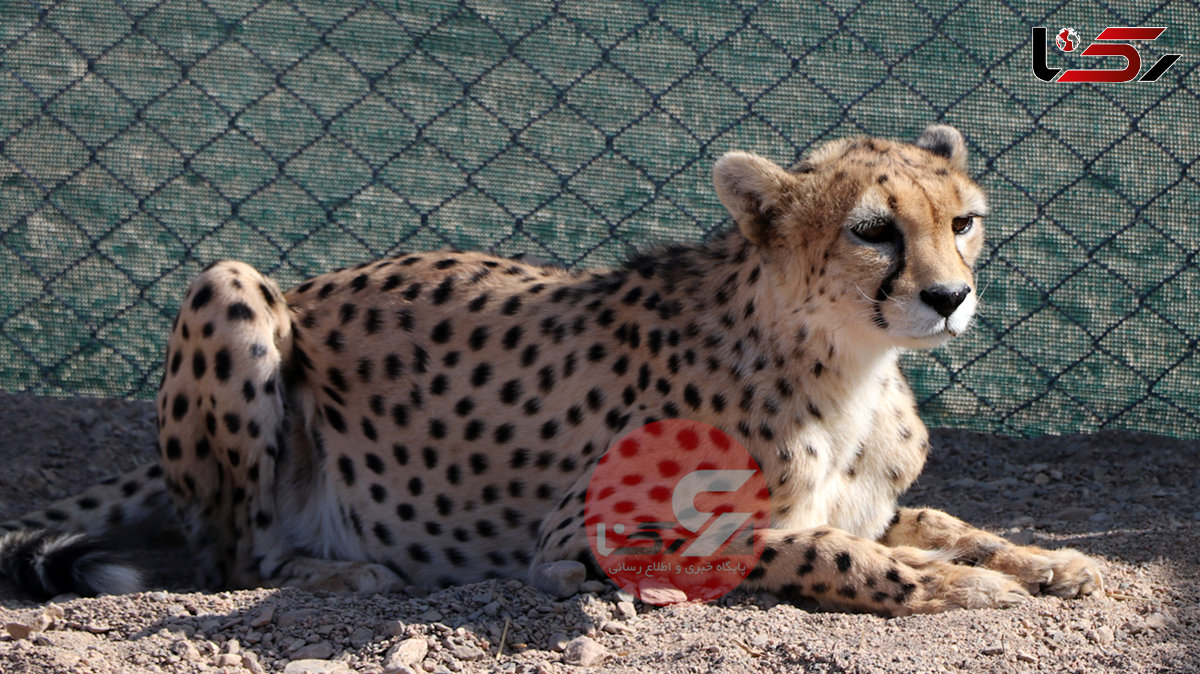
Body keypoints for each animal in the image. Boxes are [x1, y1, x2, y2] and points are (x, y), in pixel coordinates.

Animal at [0, 125, 1099, 614]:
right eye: (875, 230)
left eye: (965, 221)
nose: (950, 297)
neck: (847, 362)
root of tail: (311, 279)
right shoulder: (595, 535)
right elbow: (823, 552)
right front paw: (970, 585)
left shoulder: (866, 499)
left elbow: (930, 522)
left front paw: (1049, 558)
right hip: (231, 281)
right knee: (233, 557)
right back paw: (347, 567)